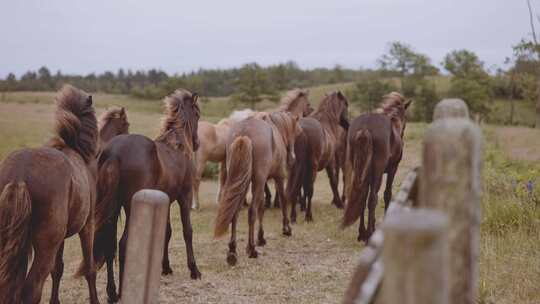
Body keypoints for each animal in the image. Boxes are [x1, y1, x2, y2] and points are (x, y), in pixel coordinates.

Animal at [0, 85, 100, 304]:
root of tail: (19, 175)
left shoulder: (60, 238)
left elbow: (58, 270)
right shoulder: (88, 225)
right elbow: (89, 268)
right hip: (45, 247)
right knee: (31, 289)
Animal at [94, 88, 201, 302]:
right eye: (197, 114)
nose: (197, 143)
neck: (176, 145)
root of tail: (114, 152)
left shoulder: (165, 200)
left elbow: (166, 232)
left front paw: (165, 267)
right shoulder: (184, 197)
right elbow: (187, 231)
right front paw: (194, 270)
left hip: (112, 209)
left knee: (110, 246)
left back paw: (112, 293)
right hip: (130, 207)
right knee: (124, 243)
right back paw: (123, 291)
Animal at [214, 110, 302, 264]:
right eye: (295, 132)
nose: (292, 158)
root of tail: (244, 133)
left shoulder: (261, 182)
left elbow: (262, 206)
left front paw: (261, 237)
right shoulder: (278, 177)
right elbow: (282, 201)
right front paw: (286, 228)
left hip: (241, 181)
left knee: (235, 212)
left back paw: (232, 251)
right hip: (256, 181)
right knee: (251, 212)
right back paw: (251, 249)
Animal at [286, 91, 350, 222]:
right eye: (346, 104)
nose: (348, 124)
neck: (326, 124)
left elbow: (301, 188)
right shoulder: (330, 162)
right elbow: (333, 181)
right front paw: (339, 203)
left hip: (297, 167)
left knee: (296, 188)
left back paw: (293, 216)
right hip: (312, 167)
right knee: (310, 189)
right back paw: (308, 216)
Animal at [344, 92, 412, 242]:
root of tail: (365, 129)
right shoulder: (392, 169)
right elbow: (387, 194)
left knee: (362, 196)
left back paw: (362, 233)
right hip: (378, 173)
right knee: (372, 199)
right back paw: (369, 234)